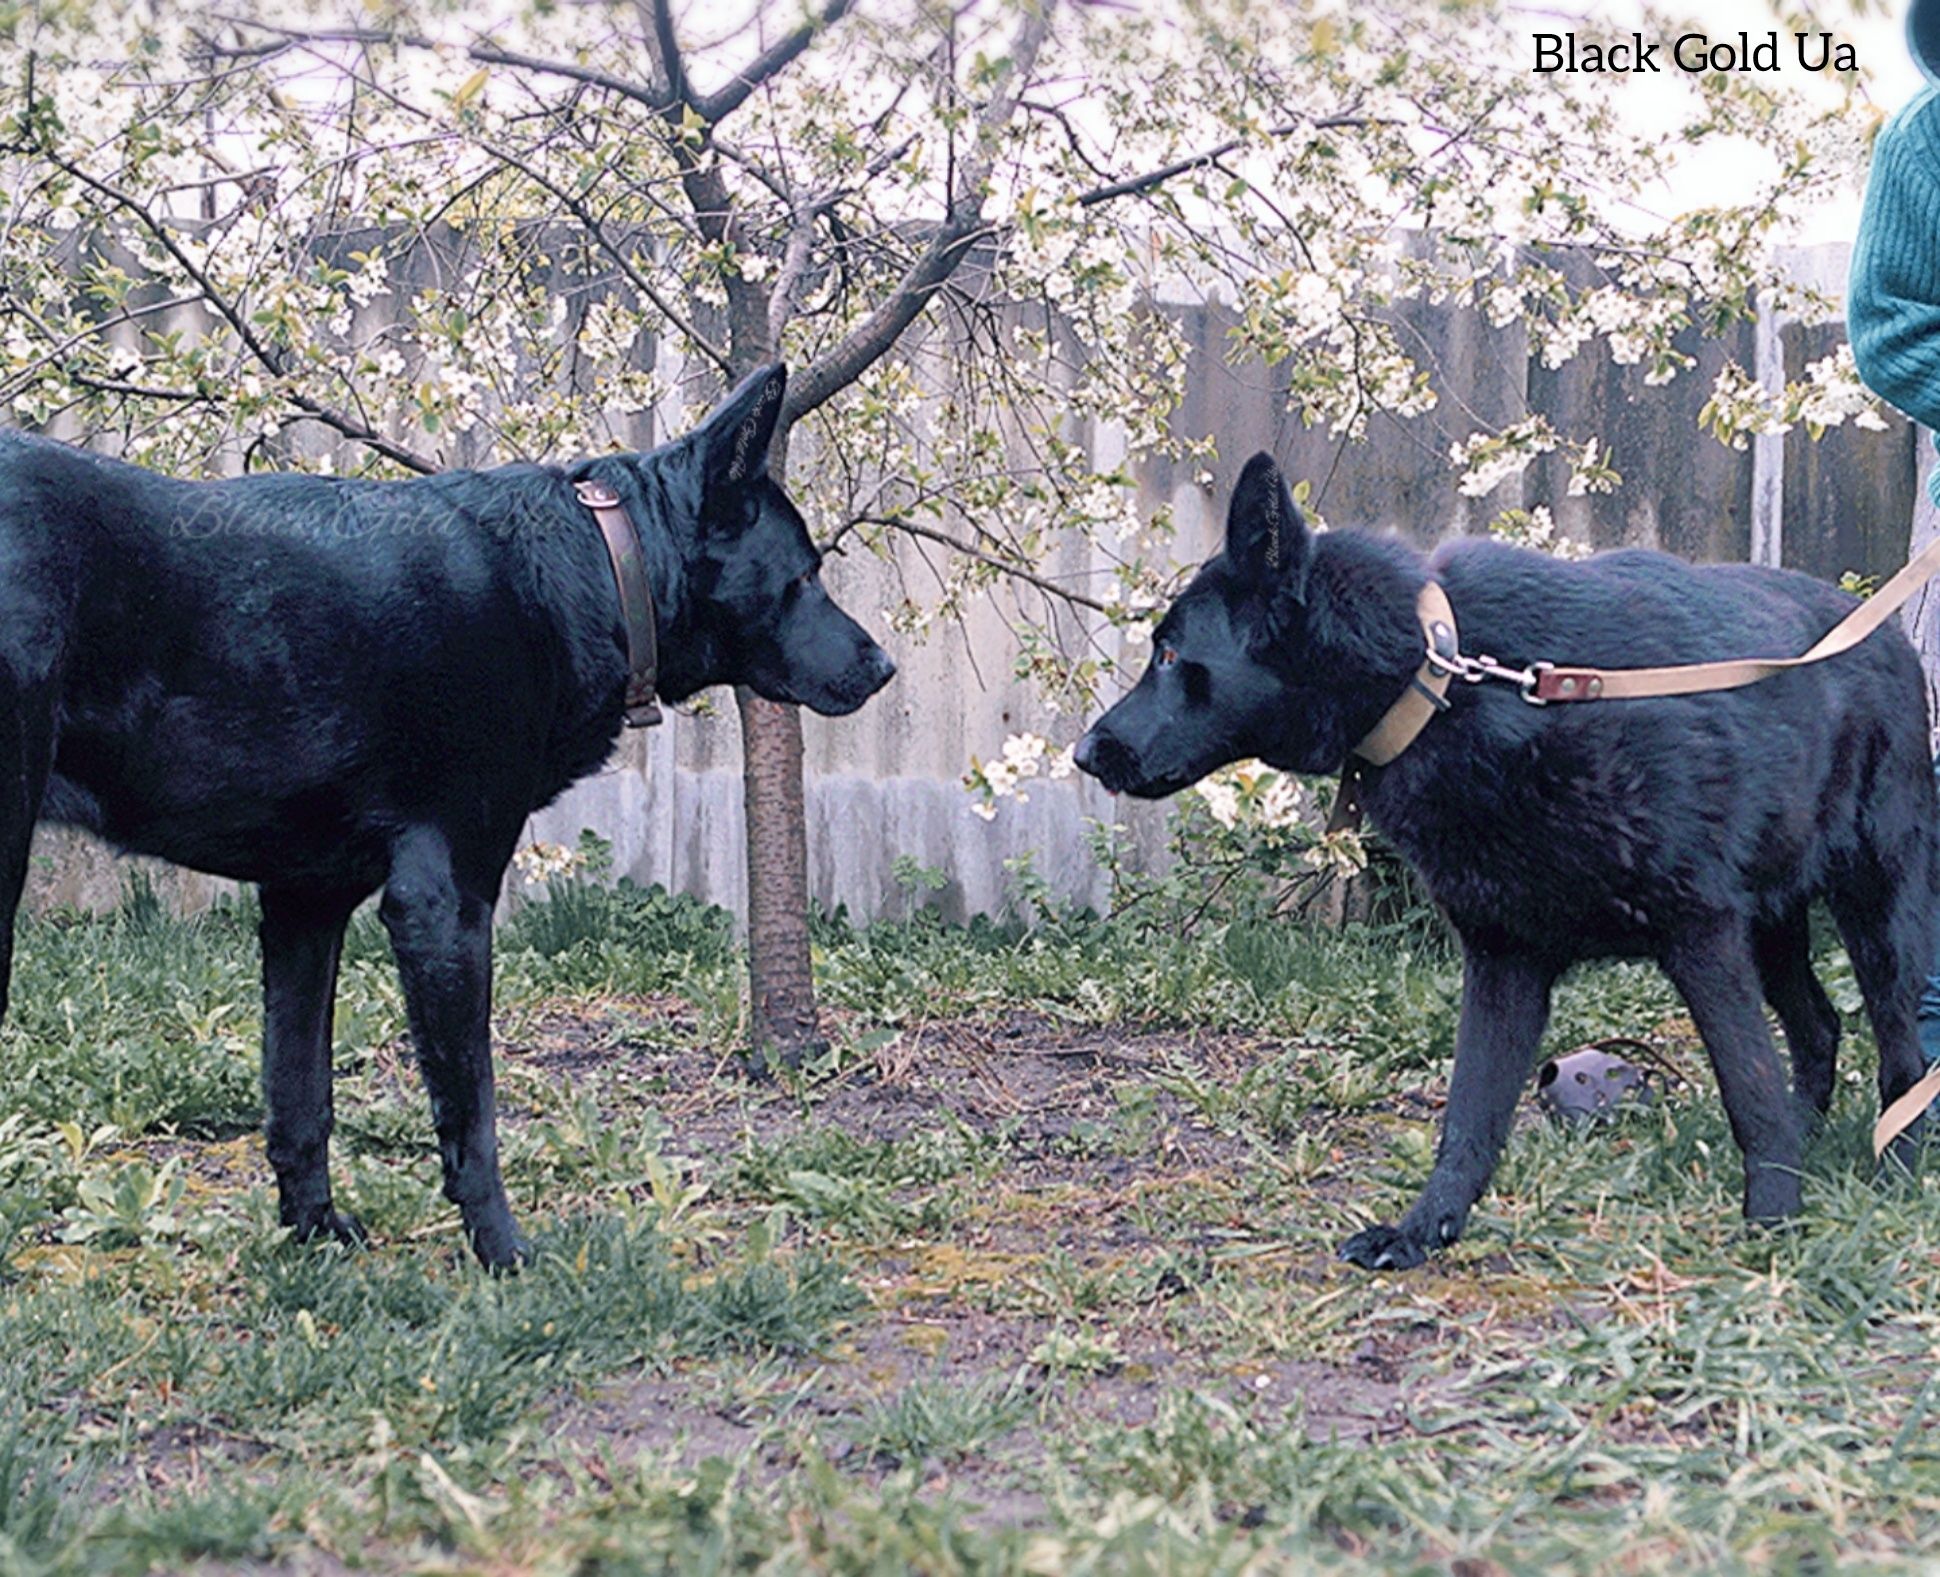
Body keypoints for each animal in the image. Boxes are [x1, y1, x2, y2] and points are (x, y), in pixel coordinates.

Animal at [0, 362, 892, 1264]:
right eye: (805, 574)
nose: (884, 665)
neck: (603, 562)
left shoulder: (303, 905)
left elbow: (301, 1093)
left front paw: (314, 1230)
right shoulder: (444, 902)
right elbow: (472, 1109)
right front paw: (503, 1251)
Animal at [1078, 451, 1940, 1264]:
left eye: (1168, 655)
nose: (1084, 753)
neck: (1450, 679)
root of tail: (1884, 632)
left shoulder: (1701, 936)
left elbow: (1748, 1092)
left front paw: (1774, 1225)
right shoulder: (1504, 959)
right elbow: (1471, 1112)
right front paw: (1422, 1231)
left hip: (1880, 913)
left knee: (1900, 1050)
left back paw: (1893, 1170)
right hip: (1773, 922)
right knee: (1819, 1026)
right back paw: (1813, 1142)